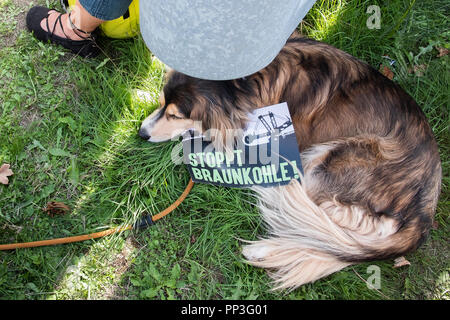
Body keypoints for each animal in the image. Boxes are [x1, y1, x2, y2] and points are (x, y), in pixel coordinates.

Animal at [139, 35, 442, 290]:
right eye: (162, 102)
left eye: (176, 115)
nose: (141, 133)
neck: (244, 86)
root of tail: (425, 209)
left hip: (333, 159)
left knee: (322, 230)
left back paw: (262, 249)